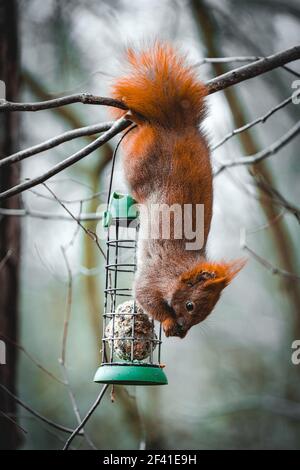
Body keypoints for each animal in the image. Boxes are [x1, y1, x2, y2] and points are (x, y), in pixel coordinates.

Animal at [111, 43, 245, 338]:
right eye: (191, 305)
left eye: (206, 313)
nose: (183, 331)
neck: (178, 271)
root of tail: (178, 124)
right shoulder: (154, 277)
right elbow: (146, 297)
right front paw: (168, 322)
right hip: (139, 163)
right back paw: (136, 117)